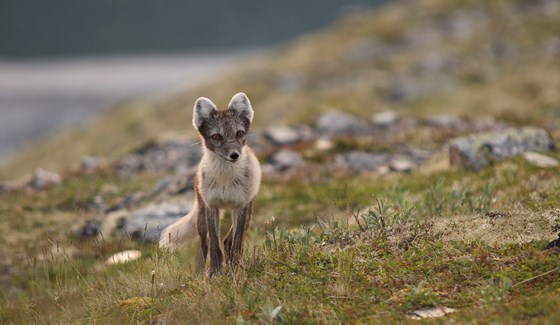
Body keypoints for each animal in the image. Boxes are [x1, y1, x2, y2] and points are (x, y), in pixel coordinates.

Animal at [159, 92, 262, 276]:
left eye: (239, 133)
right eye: (216, 136)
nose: (234, 155)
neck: (225, 180)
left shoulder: (240, 206)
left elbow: (236, 244)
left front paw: (236, 269)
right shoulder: (211, 206)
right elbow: (214, 245)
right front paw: (214, 272)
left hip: (248, 215)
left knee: (228, 241)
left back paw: (233, 263)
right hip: (201, 216)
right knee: (203, 246)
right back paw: (199, 274)